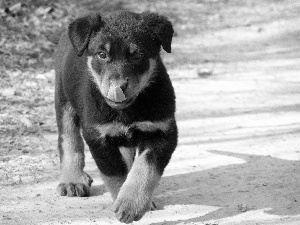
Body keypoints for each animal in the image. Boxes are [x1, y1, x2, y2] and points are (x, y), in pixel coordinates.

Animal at [53, 11, 177, 223]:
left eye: (138, 55)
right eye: (102, 55)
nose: (118, 87)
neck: (126, 111)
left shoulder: (161, 132)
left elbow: (144, 169)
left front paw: (131, 203)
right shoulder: (98, 137)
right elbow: (115, 173)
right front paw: (125, 202)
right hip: (64, 101)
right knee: (69, 139)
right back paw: (73, 180)